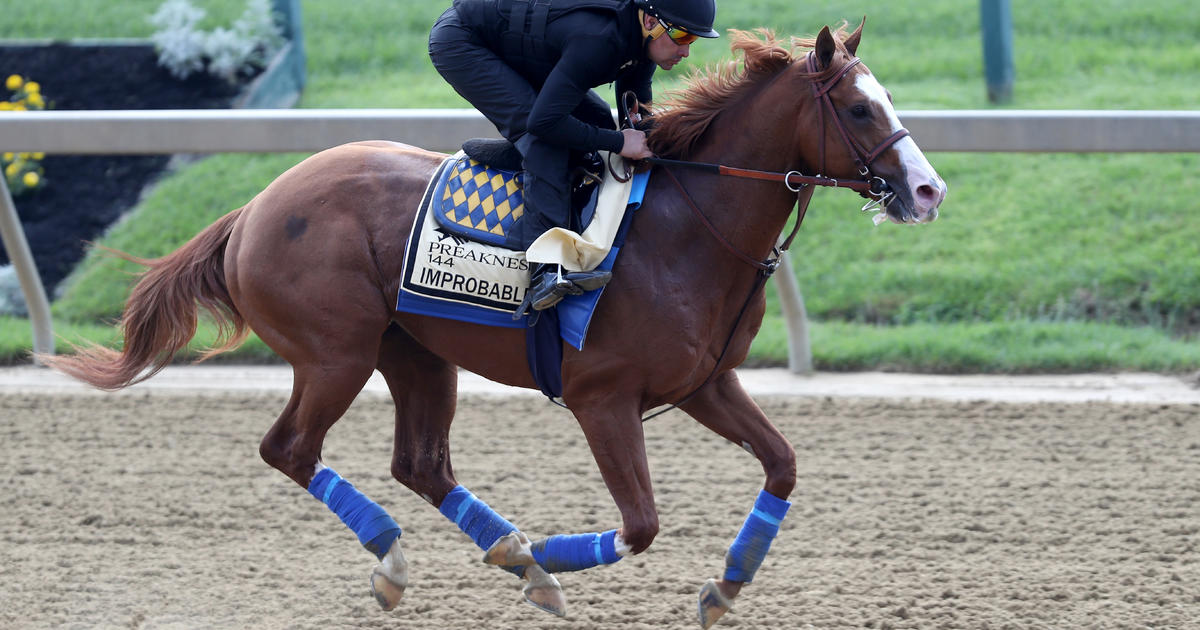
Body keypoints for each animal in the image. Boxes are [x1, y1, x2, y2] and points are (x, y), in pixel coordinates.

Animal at [44, 24, 945, 628]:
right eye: (860, 109)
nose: (929, 192)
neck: (686, 226)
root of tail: (255, 206)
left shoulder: (705, 382)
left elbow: (783, 465)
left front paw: (723, 586)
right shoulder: (601, 397)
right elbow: (641, 524)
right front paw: (548, 555)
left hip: (414, 354)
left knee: (418, 462)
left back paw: (506, 555)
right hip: (334, 354)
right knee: (290, 449)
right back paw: (410, 558)